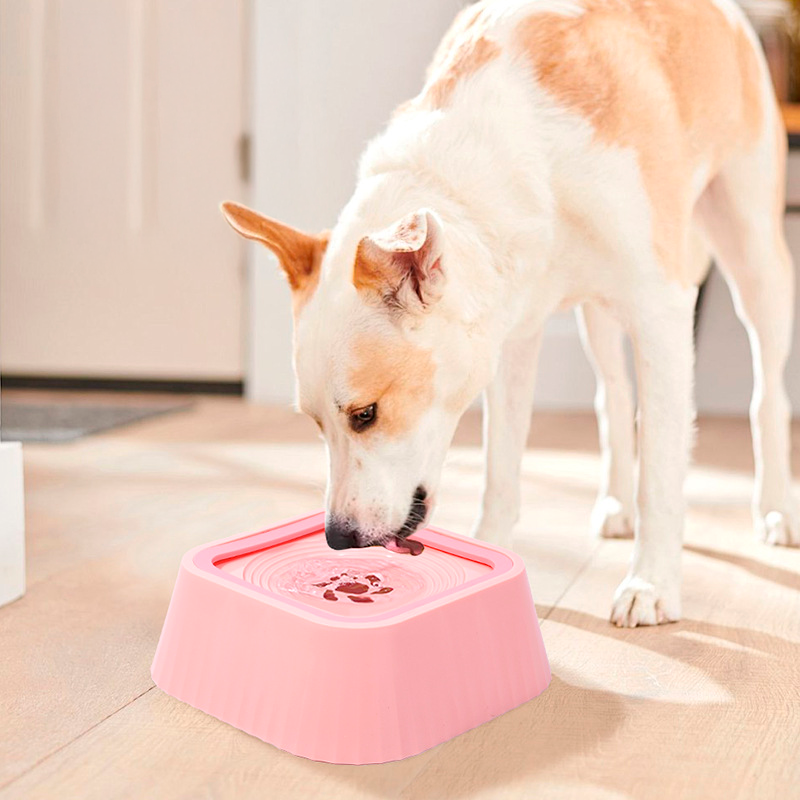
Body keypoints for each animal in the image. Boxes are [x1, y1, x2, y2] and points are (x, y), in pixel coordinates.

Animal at [222, 0, 796, 624]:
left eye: (366, 414)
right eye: (314, 423)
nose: (338, 539)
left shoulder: (662, 314)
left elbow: (663, 469)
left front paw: (651, 583)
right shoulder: (511, 337)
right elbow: (501, 463)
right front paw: (491, 555)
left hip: (754, 257)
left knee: (766, 394)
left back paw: (774, 509)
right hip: (597, 314)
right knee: (614, 397)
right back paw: (616, 501)